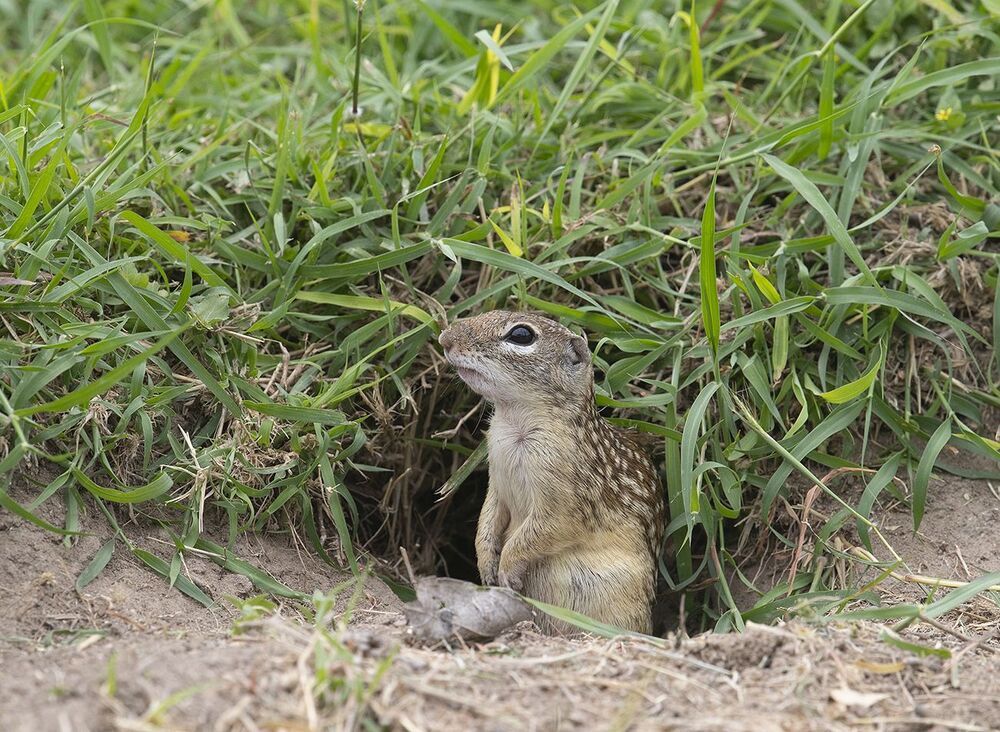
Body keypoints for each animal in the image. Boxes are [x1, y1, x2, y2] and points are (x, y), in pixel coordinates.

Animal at [439, 310, 664, 634]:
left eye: (521, 335)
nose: (445, 338)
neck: (514, 423)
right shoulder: (496, 484)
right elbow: (487, 518)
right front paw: (486, 566)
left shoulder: (565, 502)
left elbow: (543, 531)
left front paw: (507, 569)